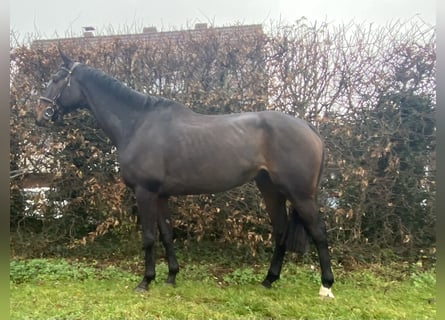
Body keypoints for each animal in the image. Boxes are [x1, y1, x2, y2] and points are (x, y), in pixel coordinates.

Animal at [35, 49, 332, 298]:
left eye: (56, 79)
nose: (40, 114)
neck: (138, 124)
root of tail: (308, 127)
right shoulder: (161, 196)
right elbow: (166, 234)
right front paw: (171, 277)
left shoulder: (144, 192)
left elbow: (148, 236)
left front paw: (145, 281)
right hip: (270, 189)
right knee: (281, 231)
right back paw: (268, 280)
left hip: (300, 195)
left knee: (319, 233)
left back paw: (326, 287)